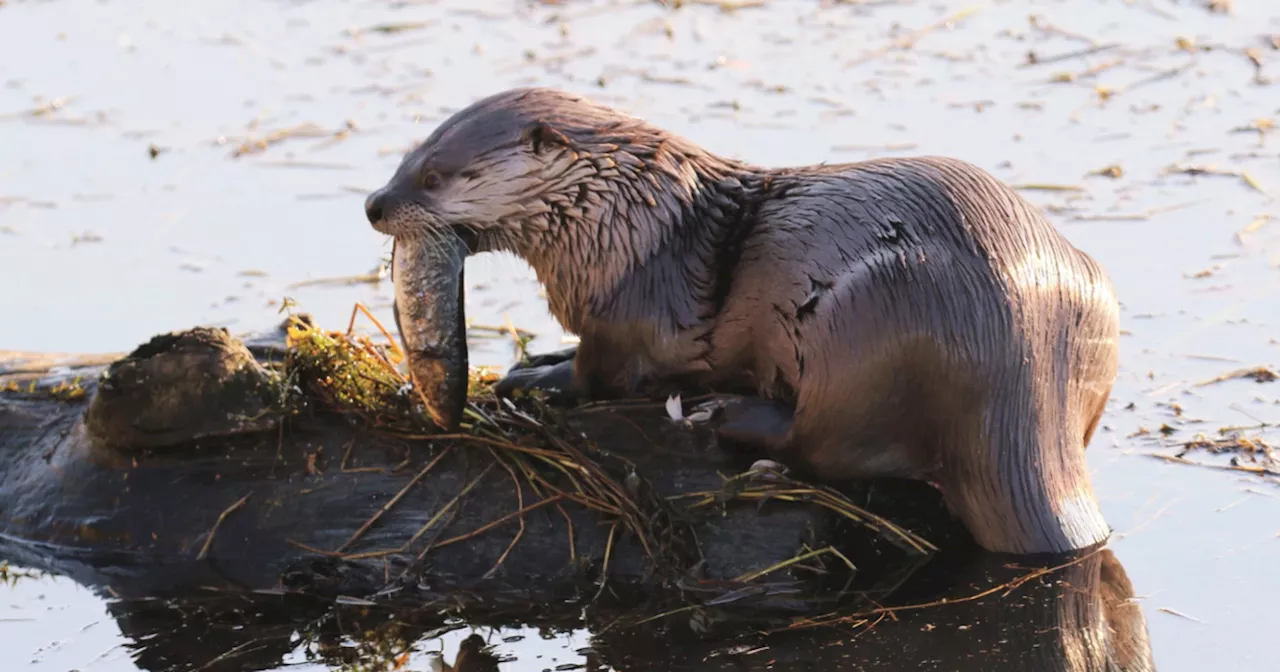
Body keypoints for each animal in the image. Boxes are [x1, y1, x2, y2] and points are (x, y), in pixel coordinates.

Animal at [363, 87, 1121, 555]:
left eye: (433, 177)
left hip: (874, 323)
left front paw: (537, 378)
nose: (374, 203)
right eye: (405, 157)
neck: (623, 223)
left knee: (824, 447)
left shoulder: (625, 313)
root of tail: (1023, 373)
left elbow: (601, 372)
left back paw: (731, 417)